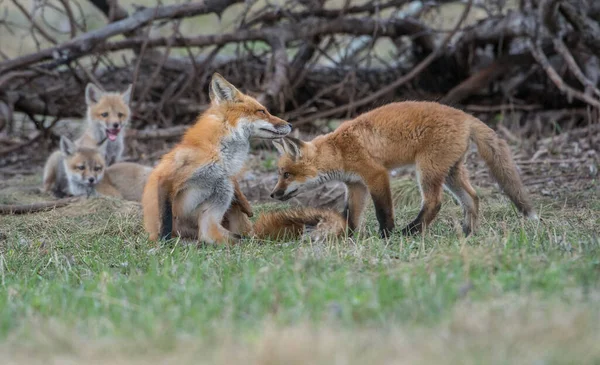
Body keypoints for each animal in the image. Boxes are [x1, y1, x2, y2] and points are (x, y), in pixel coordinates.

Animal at [141, 72, 290, 243]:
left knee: (210, 233)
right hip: (218, 188)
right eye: (262, 111)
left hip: (222, 187)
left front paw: (246, 205)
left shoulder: (228, 177)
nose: (290, 124)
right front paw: (164, 243)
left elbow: (238, 191)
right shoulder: (168, 178)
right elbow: (165, 220)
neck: (220, 152)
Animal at [270, 100, 536, 236]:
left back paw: (410, 231)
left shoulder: (376, 175)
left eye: (286, 175)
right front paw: (348, 236)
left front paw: (386, 234)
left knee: (434, 203)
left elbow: (383, 211)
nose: (273, 194)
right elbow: (350, 215)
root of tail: (465, 116)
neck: (339, 151)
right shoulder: (355, 184)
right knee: (472, 197)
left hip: (427, 170)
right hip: (450, 172)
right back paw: (467, 232)